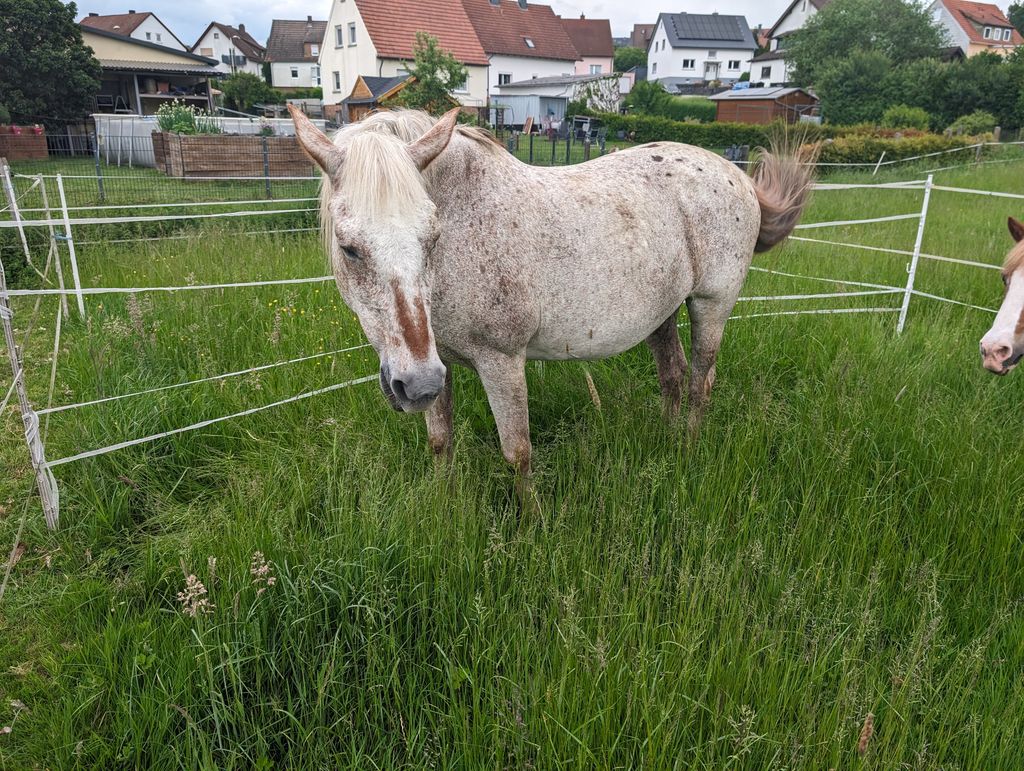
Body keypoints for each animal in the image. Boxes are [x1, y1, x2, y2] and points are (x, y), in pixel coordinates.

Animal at [288, 105, 814, 498]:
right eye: (349, 248)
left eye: (432, 237)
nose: (414, 386)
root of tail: (737, 176)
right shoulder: (440, 365)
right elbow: (441, 443)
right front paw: (443, 509)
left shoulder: (501, 362)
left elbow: (517, 452)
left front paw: (530, 526)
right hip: (660, 314)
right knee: (673, 376)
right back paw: (667, 445)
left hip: (711, 305)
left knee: (702, 381)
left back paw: (686, 448)